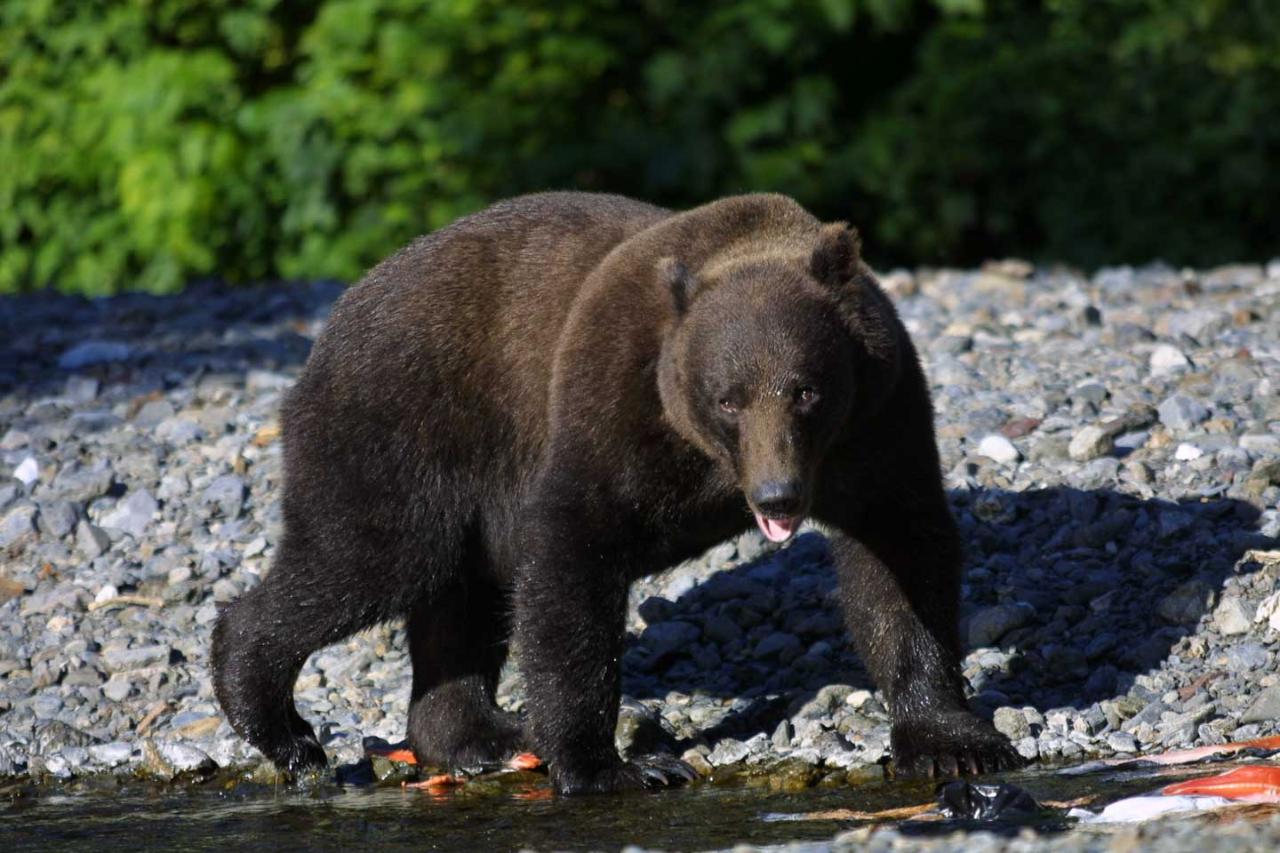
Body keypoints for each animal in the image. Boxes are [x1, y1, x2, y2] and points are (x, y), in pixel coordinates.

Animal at [212, 190, 1029, 788]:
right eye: (728, 397)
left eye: (805, 390)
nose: (777, 496)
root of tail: (329, 326)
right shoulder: (615, 404)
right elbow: (572, 554)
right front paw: (614, 764)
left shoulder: (878, 421)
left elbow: (900, 557)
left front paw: (954, 739)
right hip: (405, 423)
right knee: (371, 558)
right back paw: (281, 725)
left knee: (459, 596)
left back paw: (482, 736)